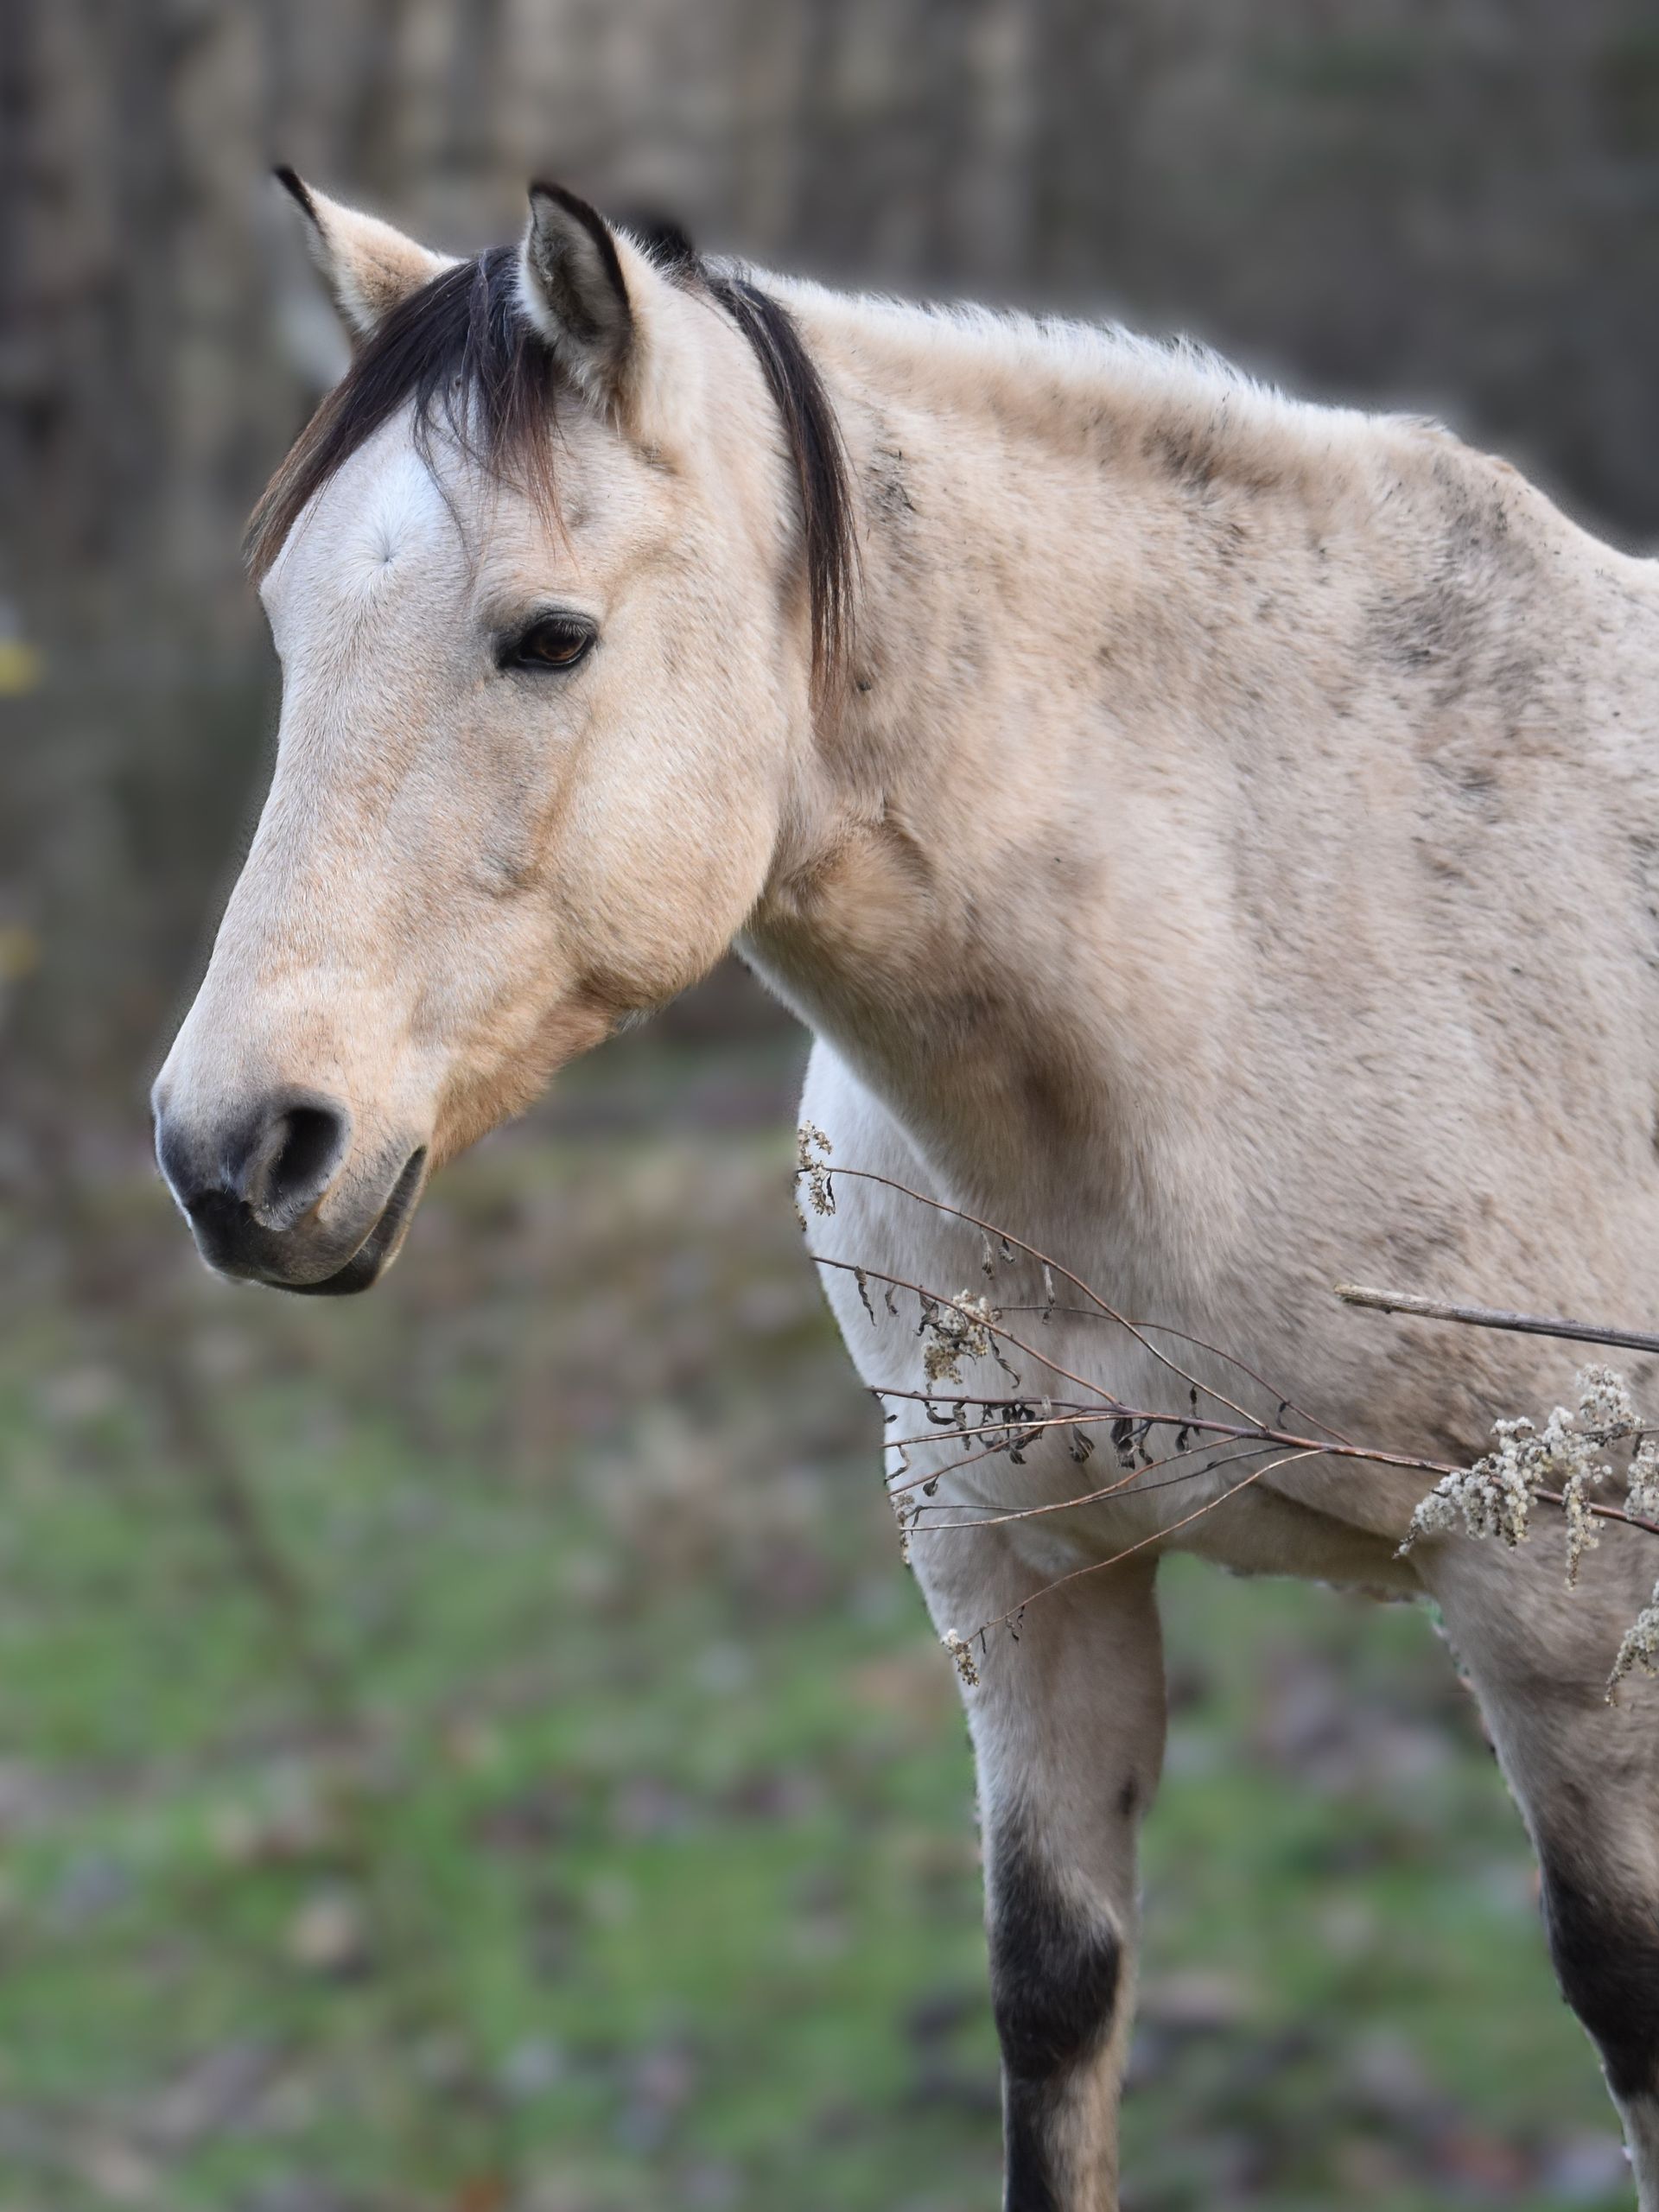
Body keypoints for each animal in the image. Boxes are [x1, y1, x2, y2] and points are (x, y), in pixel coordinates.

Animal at [149, 176, 1659, 2212]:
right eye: (293, 624)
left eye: (547, 638)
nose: (236, 1151)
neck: (1250, 955)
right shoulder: (1013, 1565)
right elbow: (1053, 1994)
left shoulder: (1555, 1598)